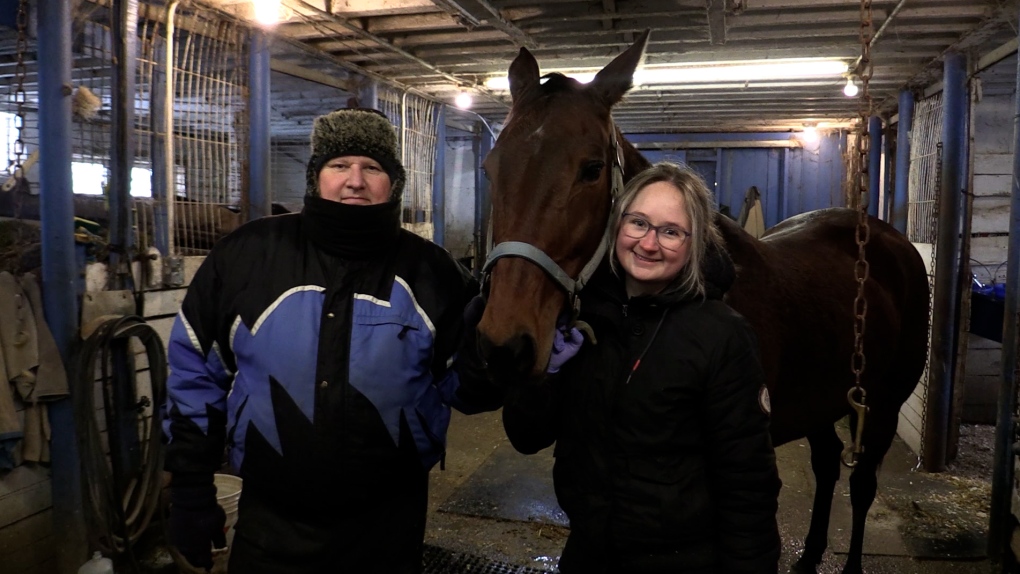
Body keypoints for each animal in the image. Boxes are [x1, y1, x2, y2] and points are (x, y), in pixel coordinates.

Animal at [477, 31, 934, 574]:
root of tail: (887, 238)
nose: (506, 345)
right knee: (826, 465)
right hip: (822, 398)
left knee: (861, 485)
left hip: (883, 404)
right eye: (491, 168)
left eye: (591, 169)